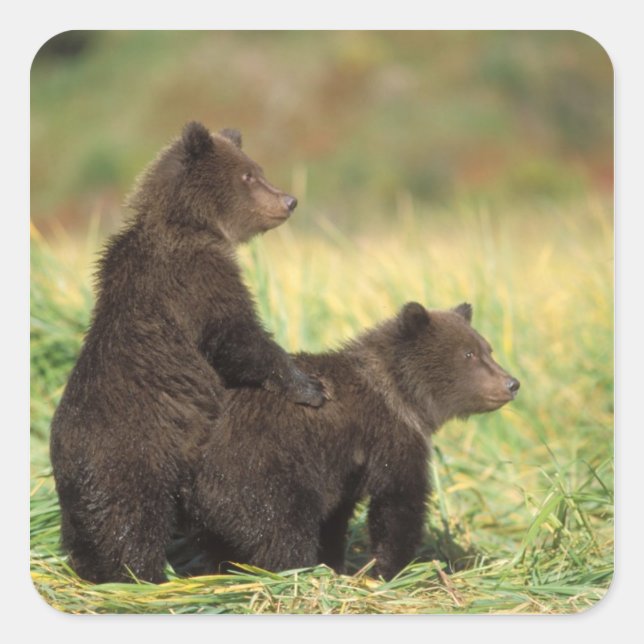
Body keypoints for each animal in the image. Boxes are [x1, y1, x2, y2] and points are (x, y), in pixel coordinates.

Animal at [49, 122, 326, 584]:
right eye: (249, 175)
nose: (289, 199)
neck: (189, 222)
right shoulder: (196, 278)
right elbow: (237, 335)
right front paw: (310, 386)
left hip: (82, 501)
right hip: (135, 458)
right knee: (133, 524)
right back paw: (144, 576)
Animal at [185, 302, 520, 581]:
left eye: (487, 349)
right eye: (468, 354)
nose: (511, 383)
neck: (403, 394)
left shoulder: (344, 468)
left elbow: (337, 517)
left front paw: (336, 562)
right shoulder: (389, 438)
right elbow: (398, 503)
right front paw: (390, 570)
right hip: (263, 468)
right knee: (283, 528)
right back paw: (295, 572)